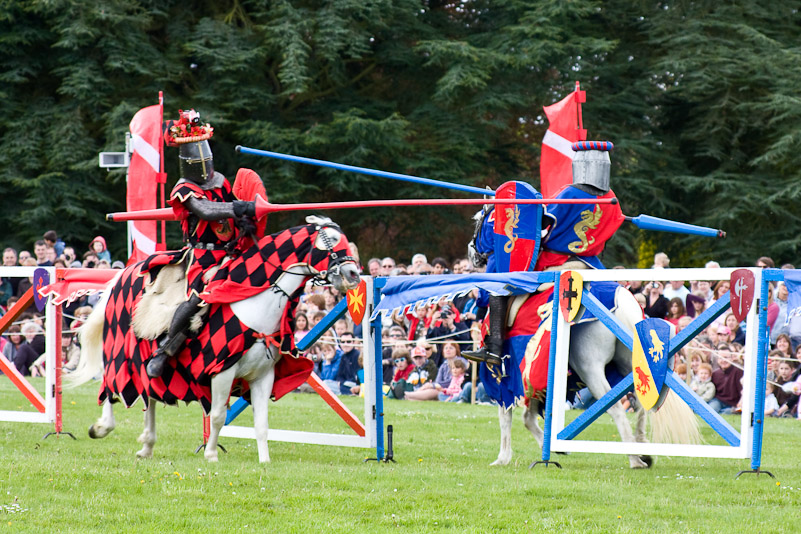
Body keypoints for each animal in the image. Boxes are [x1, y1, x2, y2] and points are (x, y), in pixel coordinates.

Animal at [72, 216, 360, 462]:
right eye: (332, 239)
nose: (354, 274)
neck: (254, 304)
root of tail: (124, 273)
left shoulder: (263, 377)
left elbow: (262, 424)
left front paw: (264, 461)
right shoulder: (221, 372)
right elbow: (219, 415)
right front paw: (211, 454)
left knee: (150, 397)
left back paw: (147, 445)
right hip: (118, 353)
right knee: (111, 386)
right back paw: (103, 427)